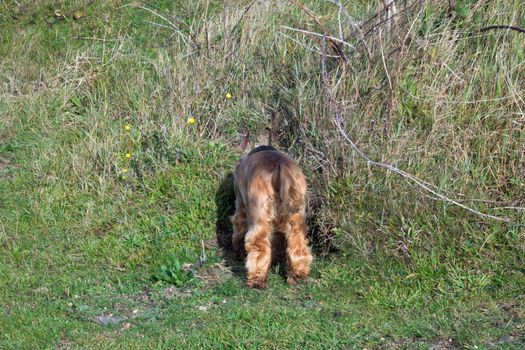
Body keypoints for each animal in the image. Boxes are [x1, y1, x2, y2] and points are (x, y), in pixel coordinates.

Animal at [230, 144, 312, 288]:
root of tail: (279, 167)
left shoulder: (241, 204)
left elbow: (238, 227)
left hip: (259, 214)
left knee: (259, 246)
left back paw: (256, 280)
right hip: (296, 216)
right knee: (298, 246)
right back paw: (296, 276)